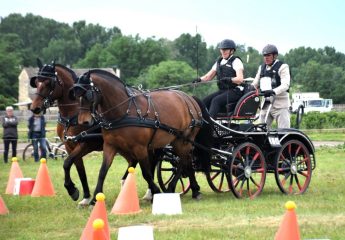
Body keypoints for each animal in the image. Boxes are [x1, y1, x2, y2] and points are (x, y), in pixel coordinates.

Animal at [73, 70, 212, 202]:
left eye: (88, 95)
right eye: (75, 95)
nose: (83, 122)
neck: (124, 112)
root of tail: (189, 98)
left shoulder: (139, 148)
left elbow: (146, 173)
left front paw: (155, 191)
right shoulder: (110, 145)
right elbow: (102, 171)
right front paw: (95, 198)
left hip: (183, 140)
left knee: (183, 161)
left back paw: (172, 188)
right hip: (176, 140)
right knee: (187, 160)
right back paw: (195, 190)